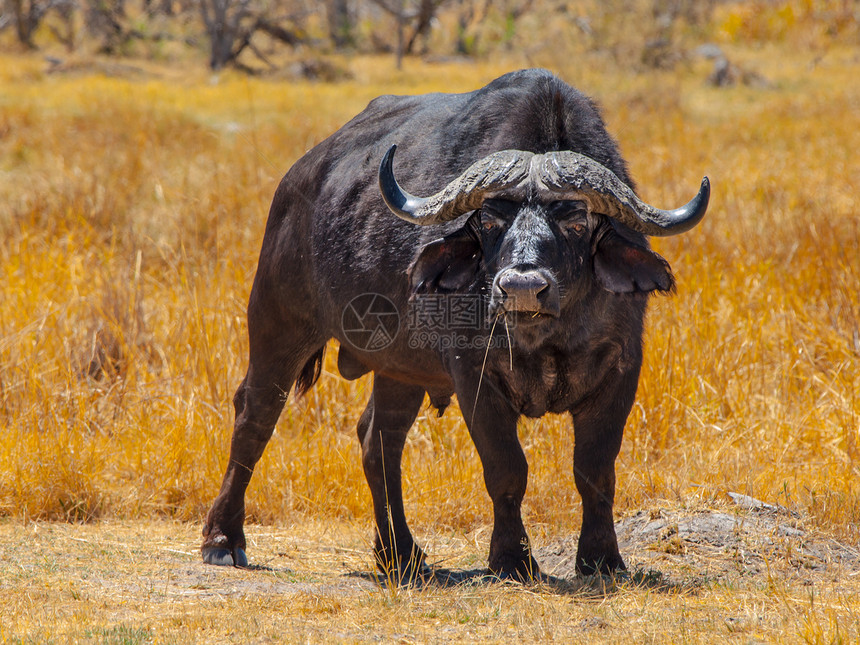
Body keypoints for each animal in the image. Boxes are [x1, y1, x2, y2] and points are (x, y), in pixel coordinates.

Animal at [203, 68, 712, 580]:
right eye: (489, 220)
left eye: (576, 220)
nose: (522, 287)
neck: (543, 337)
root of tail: (297, 182)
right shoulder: (474, 375)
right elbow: (507, 468)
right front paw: (512, 559)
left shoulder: (621, 370)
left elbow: (595, 471)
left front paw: (602, 558)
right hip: (278, 321)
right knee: (254, 417)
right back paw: (224, 540)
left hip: (399, 370)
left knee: (378, 440)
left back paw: (401, 554)